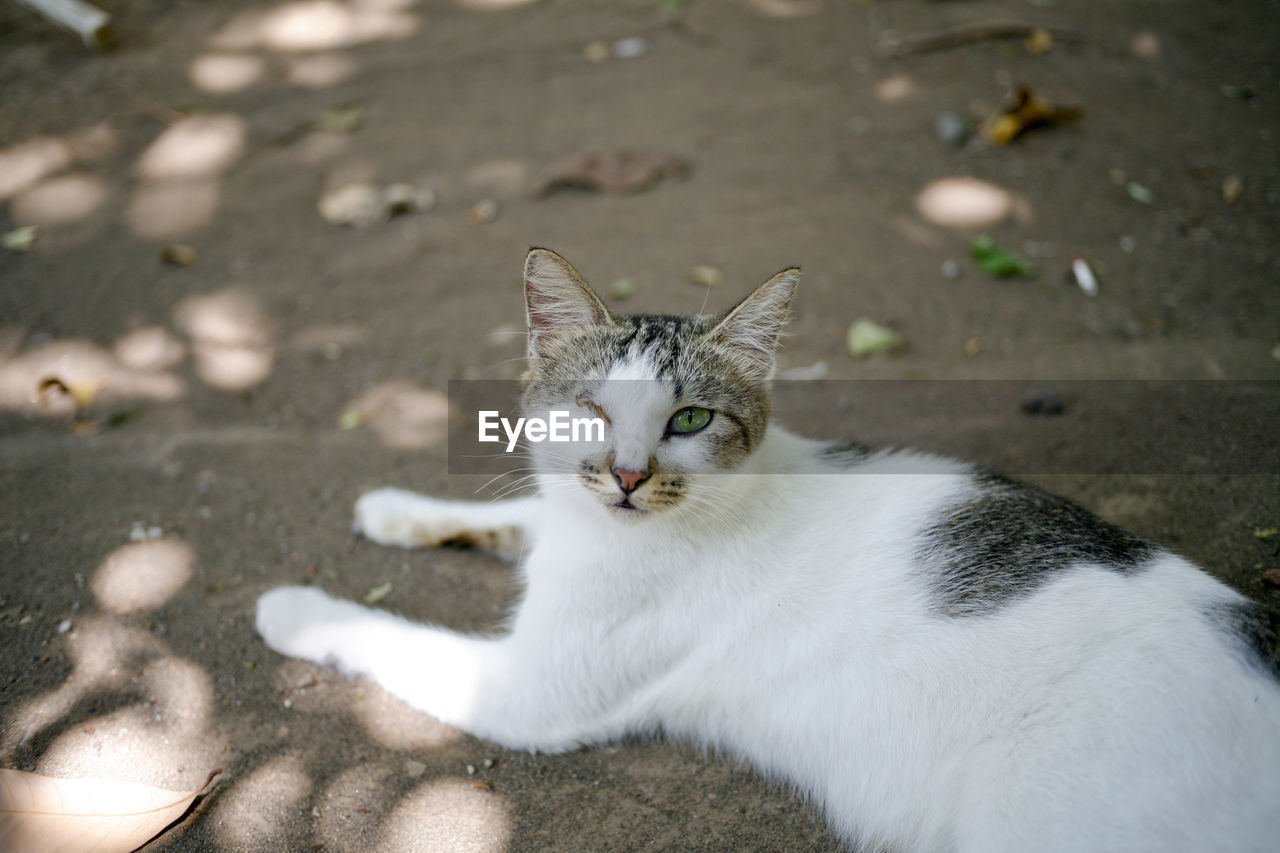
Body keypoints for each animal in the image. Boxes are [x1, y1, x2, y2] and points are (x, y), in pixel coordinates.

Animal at [257, 247, 1280, 850]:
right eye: (592, 411)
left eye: (690, 419)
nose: (627, 476)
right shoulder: (567, 523)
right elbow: (526, 517)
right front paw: (393, 507)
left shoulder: (529, 693)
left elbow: (388, 636)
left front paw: (293, 606)